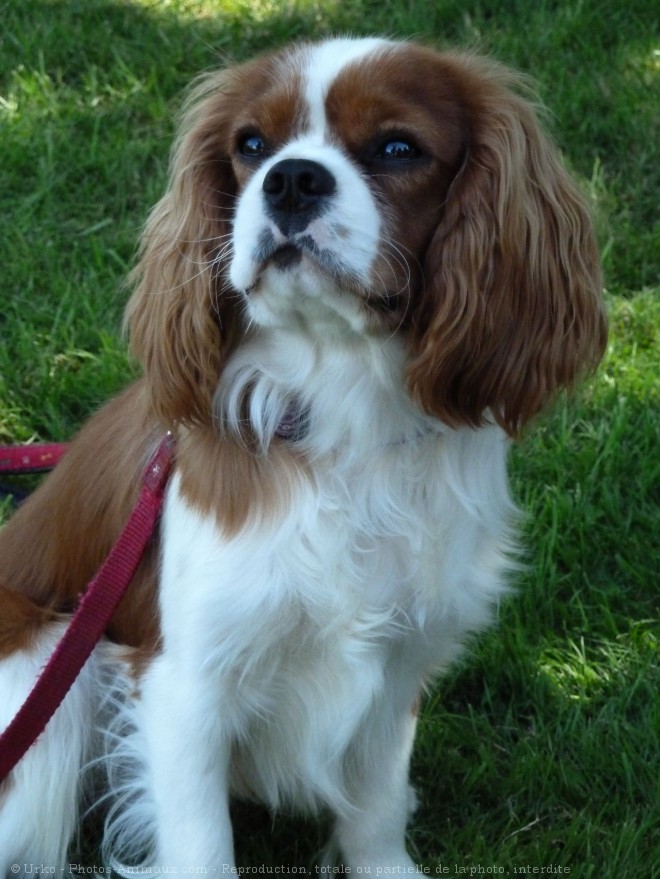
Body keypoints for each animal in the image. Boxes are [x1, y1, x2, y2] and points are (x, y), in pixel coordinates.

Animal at [0, 36, 604, 872]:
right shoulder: (184, 685)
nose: (291, 178)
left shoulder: (395, 670)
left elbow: (377, 809)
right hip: (49, 681)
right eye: (252, 145)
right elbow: (203, 845)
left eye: (397, 148)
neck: (345, 417)